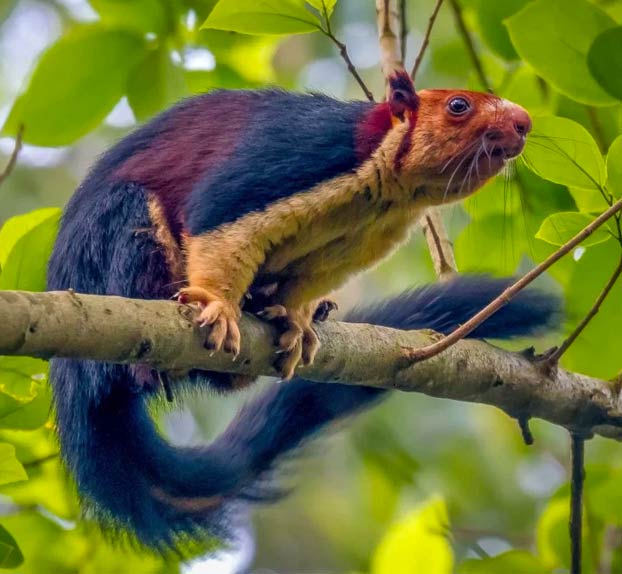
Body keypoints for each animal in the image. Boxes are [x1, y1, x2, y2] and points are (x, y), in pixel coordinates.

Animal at [46, 72, 560, 552]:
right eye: (459, 105)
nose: (524, 122)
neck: (389, 189)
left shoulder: (362, 239)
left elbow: (308, 280)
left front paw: (295, 319)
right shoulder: (300, 154)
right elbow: (218, 216)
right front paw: (218, 304)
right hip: (110, 247)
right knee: (129, 217)